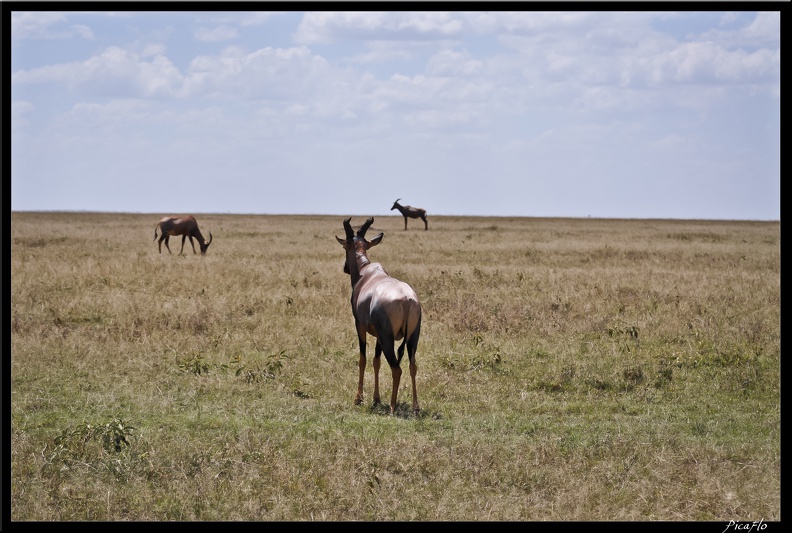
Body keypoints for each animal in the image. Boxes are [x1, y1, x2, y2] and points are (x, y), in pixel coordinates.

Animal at [334, 214, 420, 414]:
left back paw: (392, 407)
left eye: (345, 246)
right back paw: (416, 406)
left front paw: (359, 398)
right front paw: (376, 398)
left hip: (388, 338)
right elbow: (376, 361)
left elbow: (363, 359)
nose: (345, 268)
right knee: (412, 365)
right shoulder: (379, 336)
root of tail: (407, 300)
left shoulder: (360, 325)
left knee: (397, 368)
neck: (367, 274)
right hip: (413, 337)